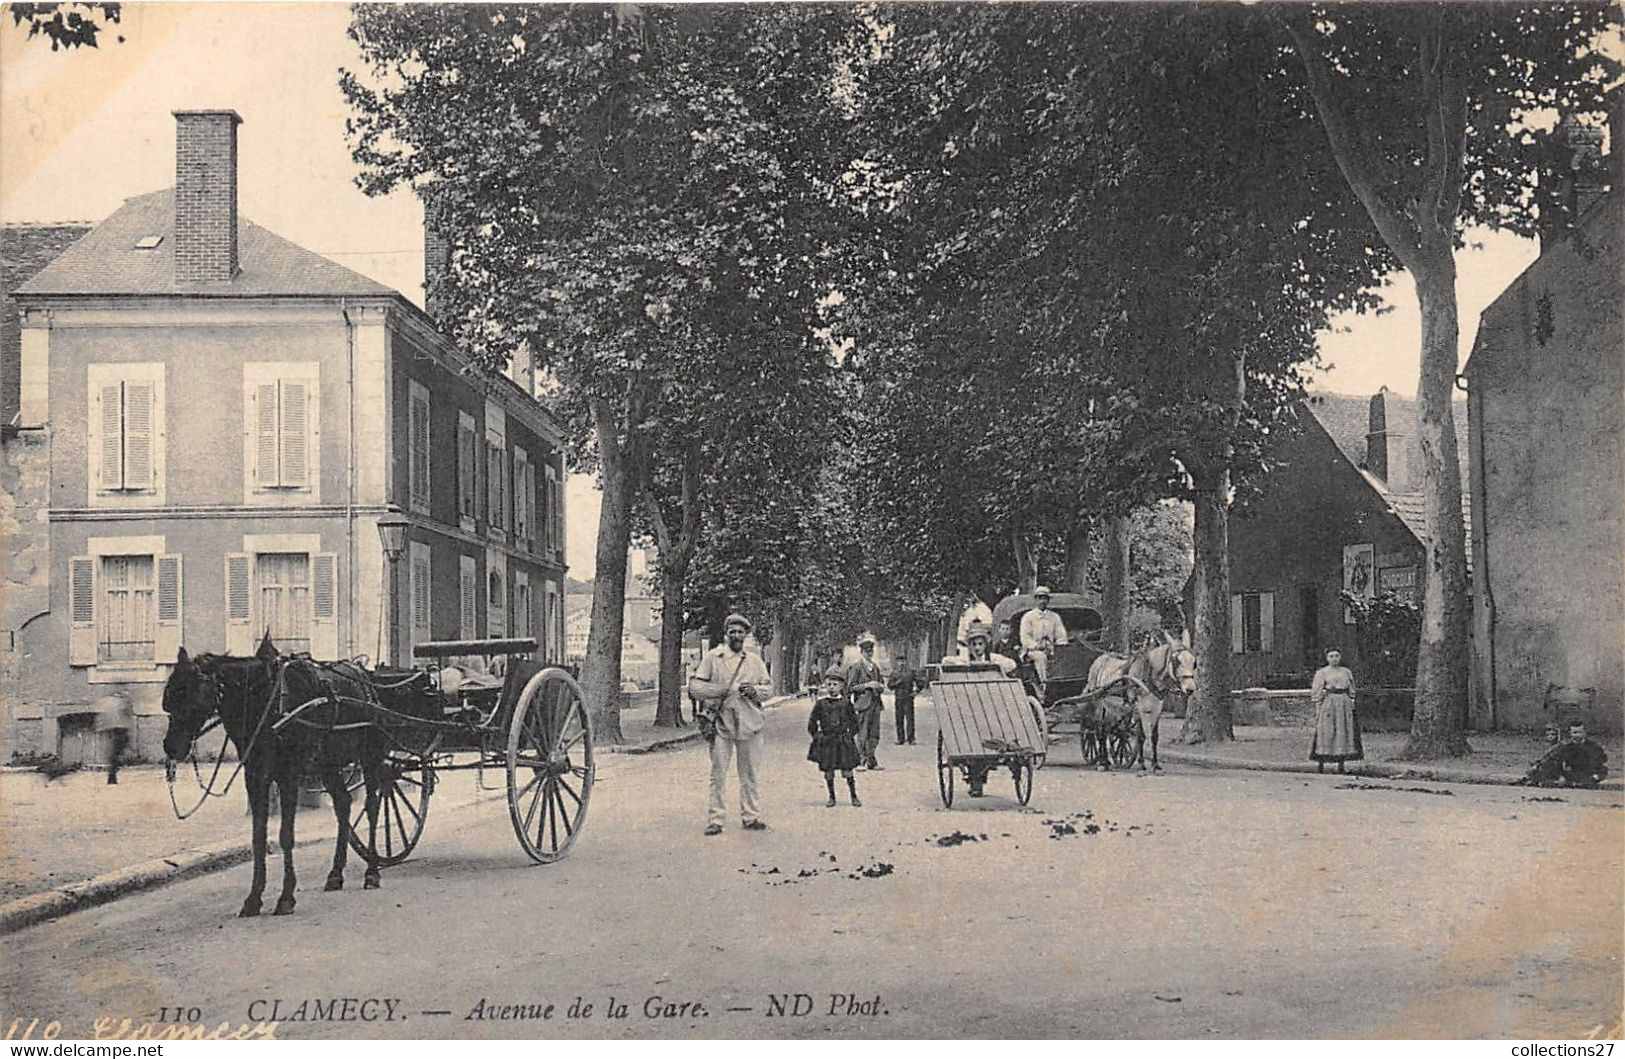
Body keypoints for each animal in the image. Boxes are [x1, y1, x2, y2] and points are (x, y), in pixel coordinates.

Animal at [160, 636, 390, 916]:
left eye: (190, 697)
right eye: (169, 700)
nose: (172, 747)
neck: (266, 703)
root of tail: (362, 673)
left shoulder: (287, 775)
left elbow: (285, 836)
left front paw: (286, 897)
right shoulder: (255, 776)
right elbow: (258, 837)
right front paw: (253, 898)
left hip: (370, 757)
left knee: (372, 806)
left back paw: (372, 871)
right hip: (329, 765)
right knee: (343, 804)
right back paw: (335, 874)